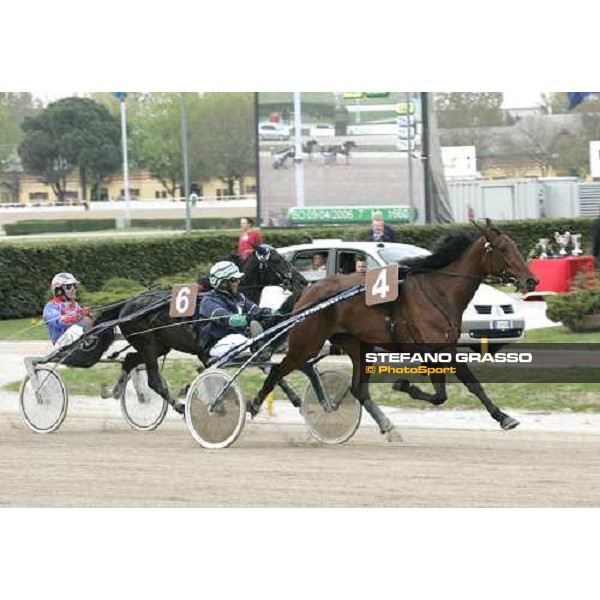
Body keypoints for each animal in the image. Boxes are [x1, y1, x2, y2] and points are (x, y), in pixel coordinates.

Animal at [95, 246, 308, 414]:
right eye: (277, 260)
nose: (303, 282)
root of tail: (126, 305)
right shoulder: (206, 351)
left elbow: (265, 365)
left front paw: (295, 398)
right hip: (147, 344)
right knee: (153, 380)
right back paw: (179, 407)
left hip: (159, 346)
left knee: (130, 359)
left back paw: (117, 391)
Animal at [248, 223, 540, 438]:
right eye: (503, 248)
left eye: (515, 246)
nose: (531, 280)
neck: (439, 291)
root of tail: (308, 290)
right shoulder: (436, 349)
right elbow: (451, 391)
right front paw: (403, 384)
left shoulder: (440, 349)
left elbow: (456, 390)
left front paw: (503, 417)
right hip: (306, 343)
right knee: (276, 370)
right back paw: (253, 404)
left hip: (357, 346)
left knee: (358, 389)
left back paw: (386, 425)